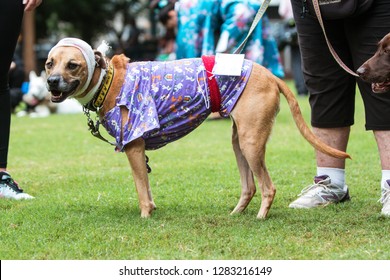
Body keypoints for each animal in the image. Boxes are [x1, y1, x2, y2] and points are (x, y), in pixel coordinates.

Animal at [45, 38, 350, 220]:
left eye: (73, 65)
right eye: (49, 63)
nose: (51, 81)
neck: (108, 81)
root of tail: (271, 75)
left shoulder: (133, 146)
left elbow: (141, 189)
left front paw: (145, 215)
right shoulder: (139, 151)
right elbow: (147, 187)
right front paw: (152, 208)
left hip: (251, 142)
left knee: (268, 187)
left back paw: (261, 216)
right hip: (239, 142)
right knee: (250, 186)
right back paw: (237, 213)